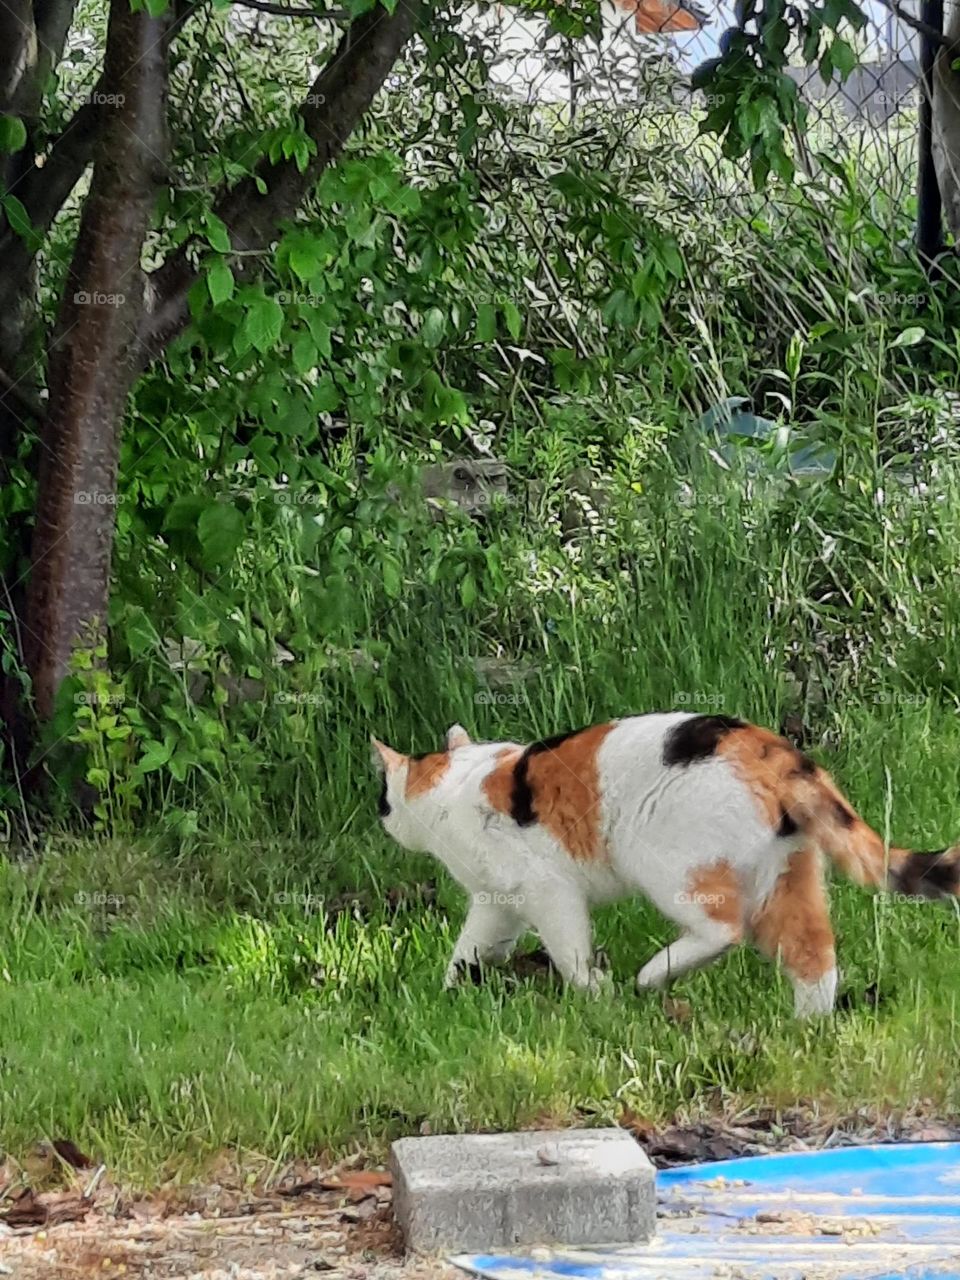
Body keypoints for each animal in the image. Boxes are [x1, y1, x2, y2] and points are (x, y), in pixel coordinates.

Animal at [373, 716, 960, 1013]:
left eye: (383, 799)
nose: (381, 818)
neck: (458, 782)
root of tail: (773, 749)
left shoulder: (547, 890)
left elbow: (569, 950)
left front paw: (595, 994)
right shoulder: (497, 903)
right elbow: (470, 948)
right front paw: (448, 993)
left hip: (668, 865)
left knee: (724, 929)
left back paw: (651, 976)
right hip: (789, 875)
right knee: (814, 955)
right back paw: (806, 1026)